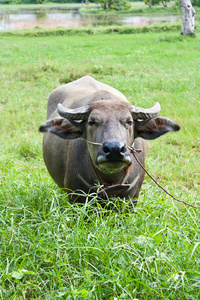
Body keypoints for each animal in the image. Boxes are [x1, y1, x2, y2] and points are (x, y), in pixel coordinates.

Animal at [39, 75, 180, 203]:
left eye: (129, 121)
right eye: (91, 122)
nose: (114, 149)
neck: (111, 179)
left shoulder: (132, 198)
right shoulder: (75, 196)